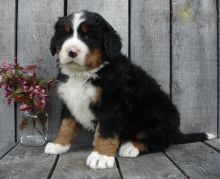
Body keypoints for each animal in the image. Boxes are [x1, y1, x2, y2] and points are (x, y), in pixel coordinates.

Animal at [44, 10, 215, 169]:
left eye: (88, 36)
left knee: (160, 141)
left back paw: (130, 147)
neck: (83, 74)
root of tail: (175, 131)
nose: (71, 51)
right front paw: (59, 145)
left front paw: (101, 156)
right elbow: (65, 125)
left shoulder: (111, 105)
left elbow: (105, 131)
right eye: (64, 35)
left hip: (158, 117)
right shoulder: (69, 102)